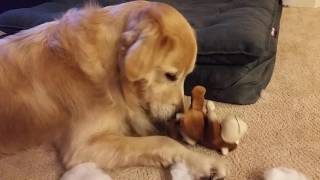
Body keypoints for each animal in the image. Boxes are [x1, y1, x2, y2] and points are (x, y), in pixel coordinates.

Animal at [0, 0, 226, 179]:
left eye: (188, 75)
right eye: (171, 76)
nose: (179, 115)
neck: (109, 67)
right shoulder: (81, 147)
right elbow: (161, 142)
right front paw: (203, 162)